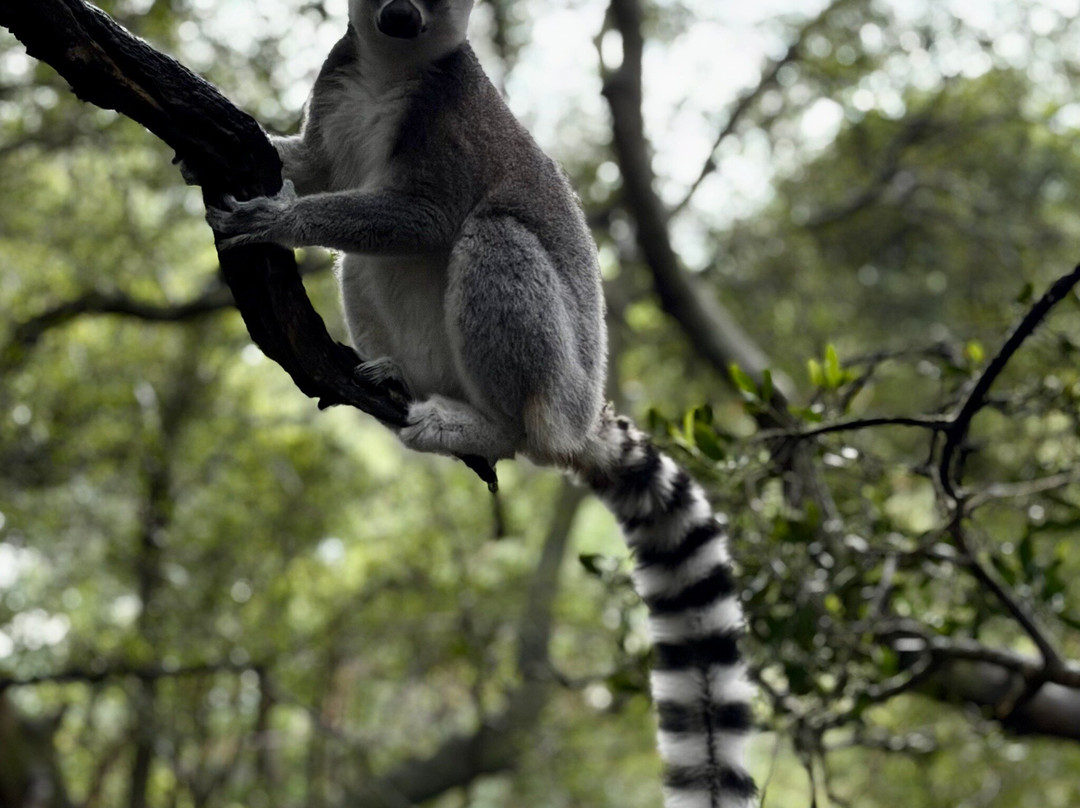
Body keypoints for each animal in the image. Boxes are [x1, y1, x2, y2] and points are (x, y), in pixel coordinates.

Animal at [204, 1, 757, 805]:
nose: (402, 16)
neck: (391, 73)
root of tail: (579, 416)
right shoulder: (338, 83)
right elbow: (314, 165)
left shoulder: (453, 120)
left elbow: (428, 217)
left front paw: (279, 221)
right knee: (361, 264)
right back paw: (393, 378)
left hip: (550, 378)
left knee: (491, 235)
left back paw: (484, 427)